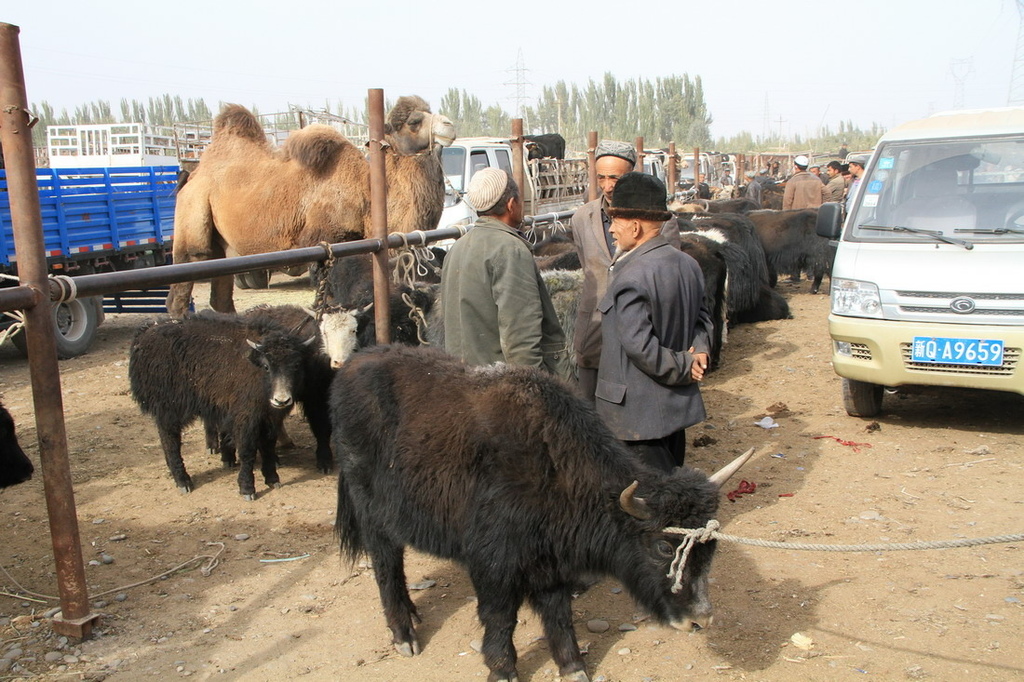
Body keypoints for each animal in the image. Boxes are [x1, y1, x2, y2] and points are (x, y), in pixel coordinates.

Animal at [165, 95, 454, 315]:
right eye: (414, 121)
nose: (449, 125)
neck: (366, 191)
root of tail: (192, 173)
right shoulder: (322, 240)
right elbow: (327, 297)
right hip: (193, 215)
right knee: (185, 277)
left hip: (224, 246)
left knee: (221, 296)